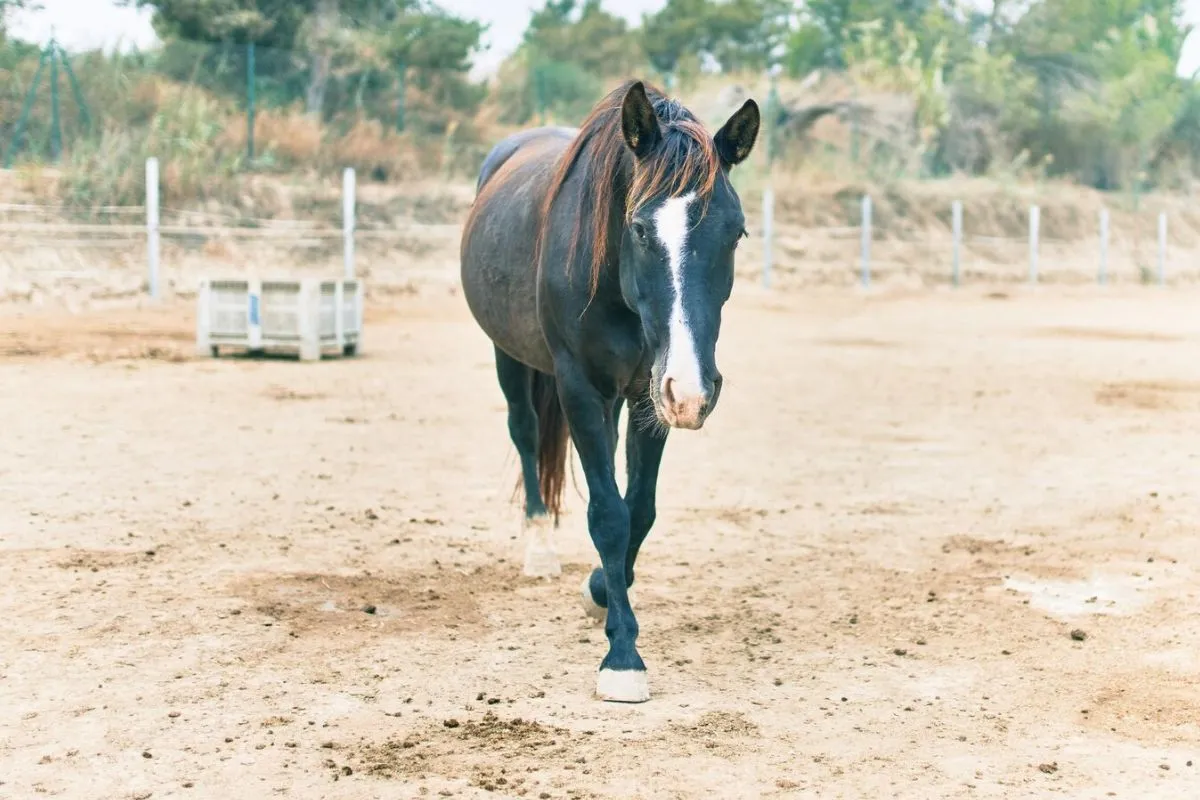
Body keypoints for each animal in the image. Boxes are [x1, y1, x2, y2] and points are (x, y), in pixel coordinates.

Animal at [458, 76, 758, 700]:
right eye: (639, 229)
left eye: (736, 233)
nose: (696, 390)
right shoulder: (580, 388)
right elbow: (608, 515)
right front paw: (622, 657)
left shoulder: (651, 395)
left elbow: (637, 508)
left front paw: (602, 590)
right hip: (510, 358)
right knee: (525, 434)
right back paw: (540, 547)